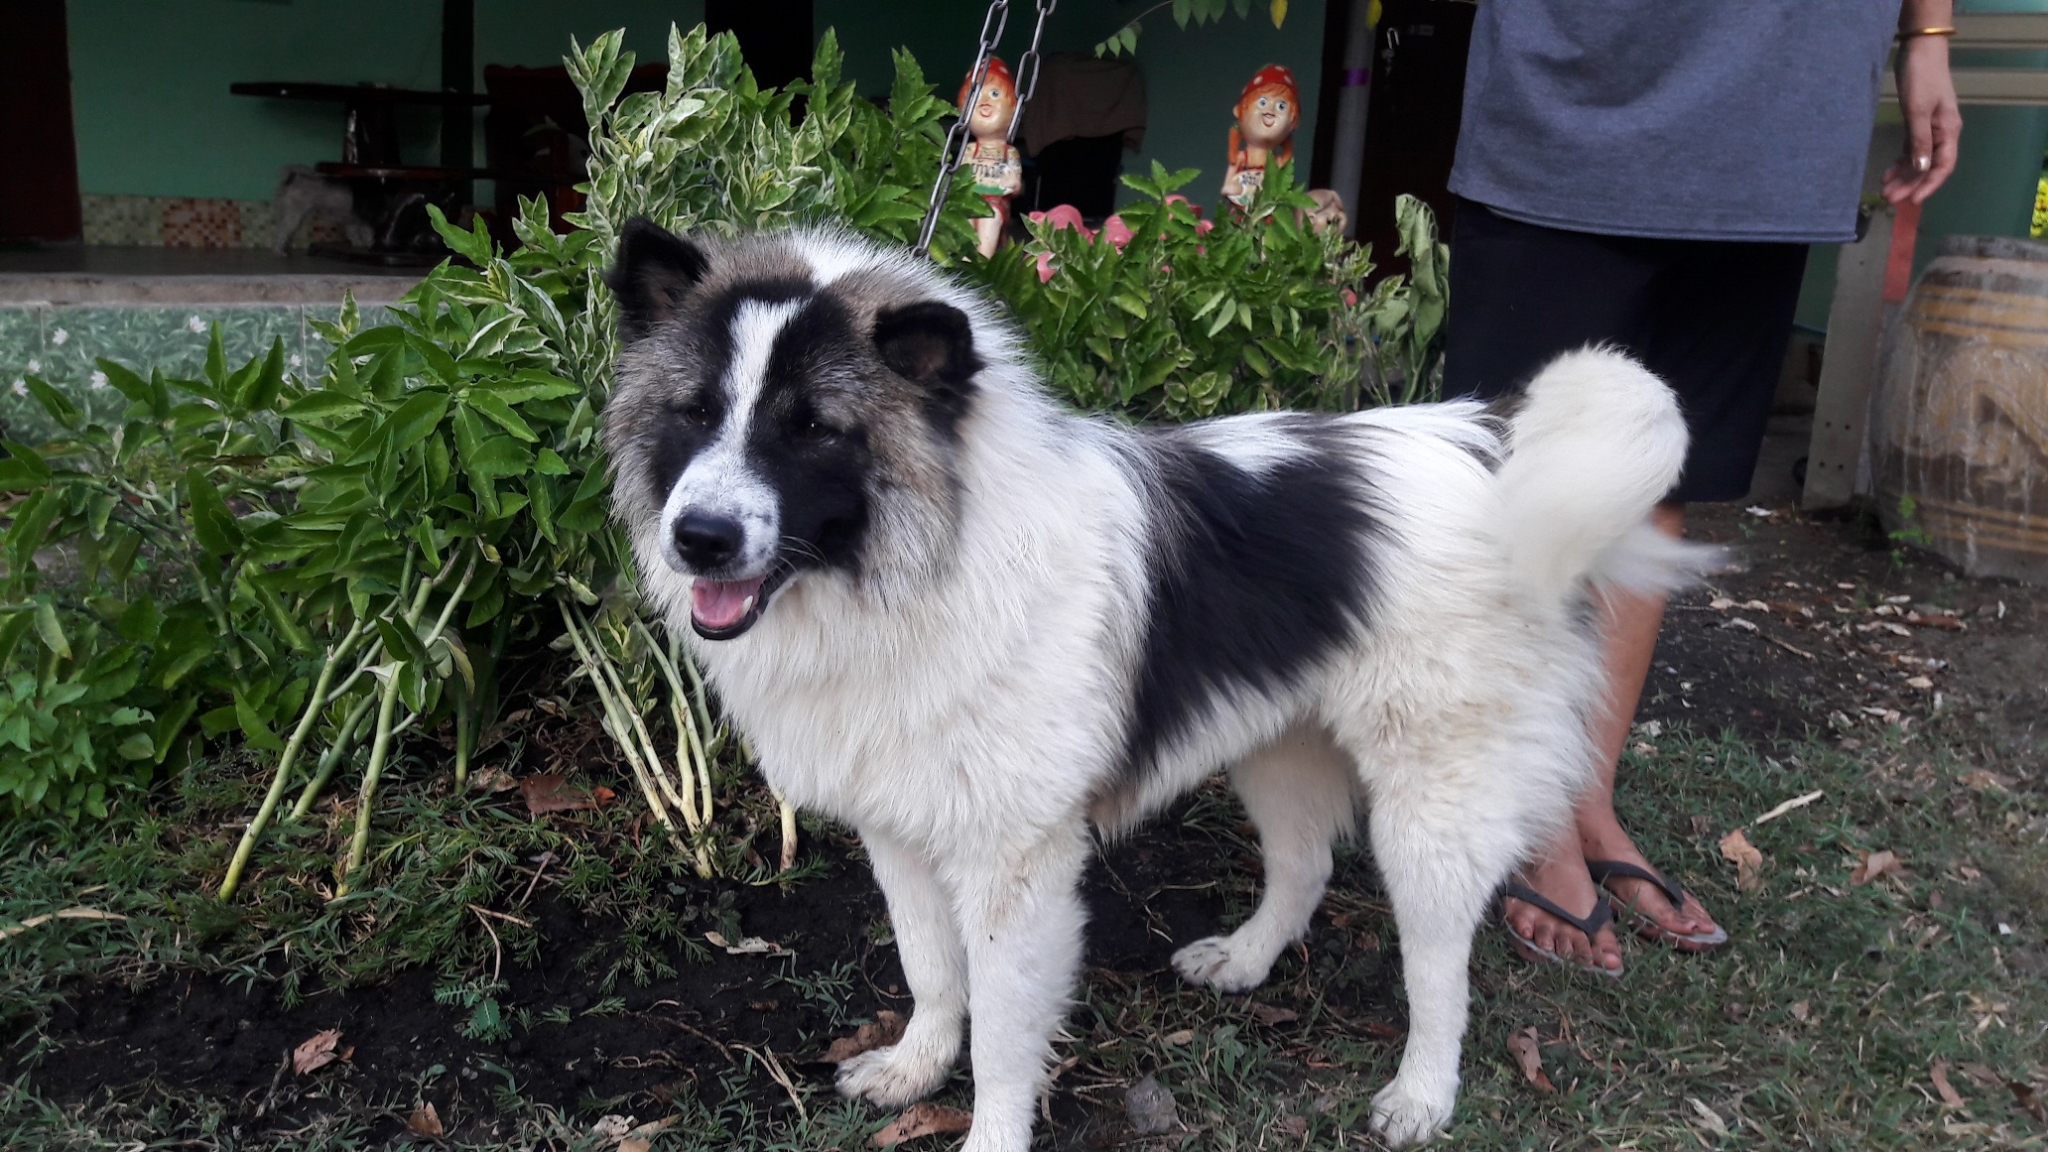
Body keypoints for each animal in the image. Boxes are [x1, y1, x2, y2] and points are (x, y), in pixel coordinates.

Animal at [603, 219, 1696, 1150]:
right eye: (695, 414)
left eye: (813, 429)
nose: (698, 539)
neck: (929, 559)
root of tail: (1487, 440)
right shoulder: (902, 833)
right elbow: (930, 969)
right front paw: (916, 1068)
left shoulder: (1015, 866)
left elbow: (1003, 1033)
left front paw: (987, 1130)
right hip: (1279, 742)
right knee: (1303, 864)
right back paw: (1247, 960)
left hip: (1434, 805)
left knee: (1437, 961)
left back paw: (1422, 1094)